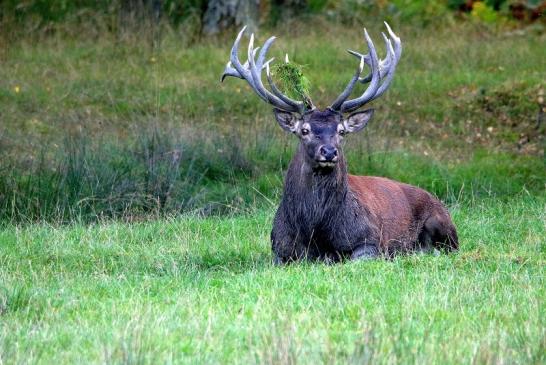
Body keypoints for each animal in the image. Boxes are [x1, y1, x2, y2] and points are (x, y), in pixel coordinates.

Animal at [220, 22, 454, 262]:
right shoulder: (279, 247)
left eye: (342, 131)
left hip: (441, 223)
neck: (314, 232)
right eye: (304, 130)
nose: (329, 152)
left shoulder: (370, 239)